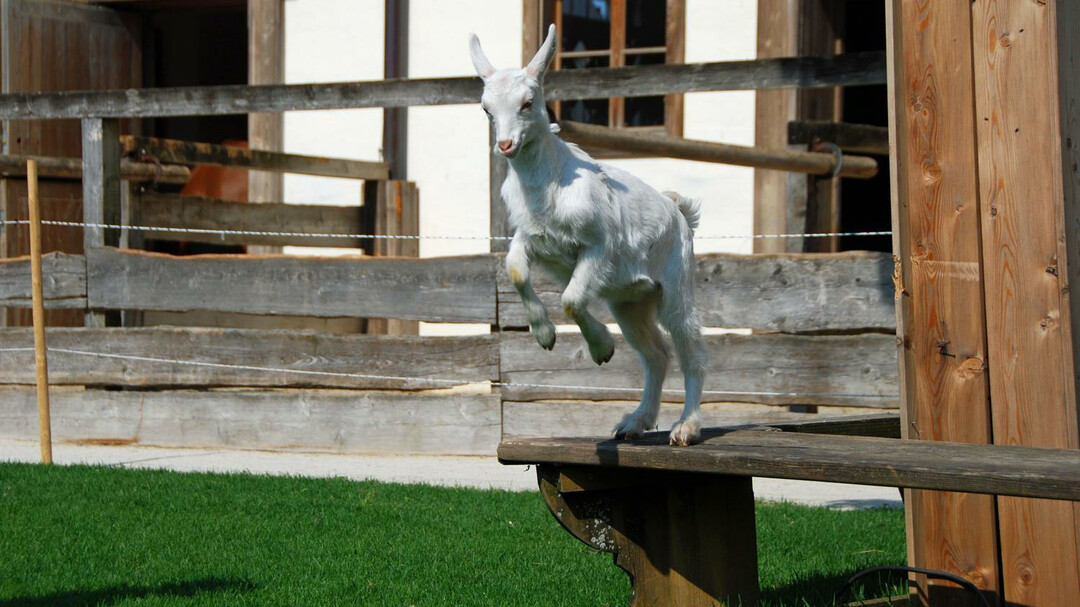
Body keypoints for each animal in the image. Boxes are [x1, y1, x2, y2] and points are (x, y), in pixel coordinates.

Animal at [469, 25, 707, 446]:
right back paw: (634, 423)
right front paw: (544, 335)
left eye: (528, 102)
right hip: (630, 301)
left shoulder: (598, 247)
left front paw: (601, 349)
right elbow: (515, 269)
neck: (548, 183)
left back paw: (686, 427)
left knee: (690, 350)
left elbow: (571, 298)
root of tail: (678, 211)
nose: (505, 145)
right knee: (656, 353)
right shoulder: (531, 238)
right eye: (486, 109)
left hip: (676, 285)